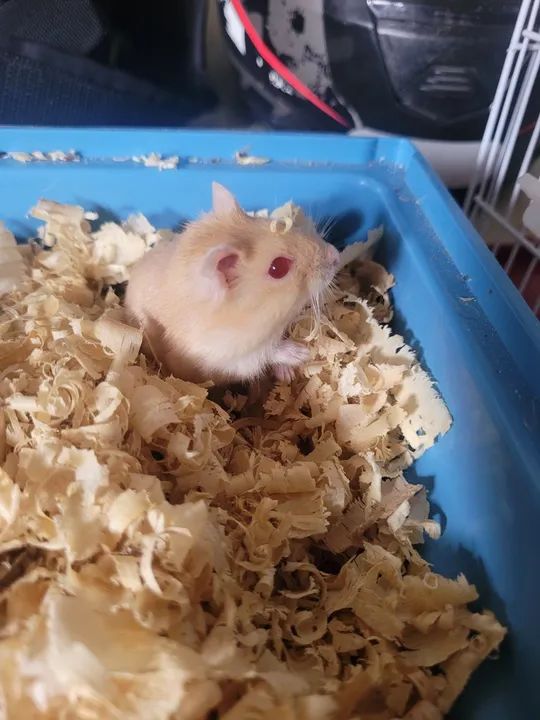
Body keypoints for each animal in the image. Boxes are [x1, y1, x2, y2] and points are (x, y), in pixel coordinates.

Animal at [124, 182, 340, 386]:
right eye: (278, 268)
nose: (336, 254)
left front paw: (289, 373)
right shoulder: (235, 358)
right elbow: (269, 353)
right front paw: (303, 353)